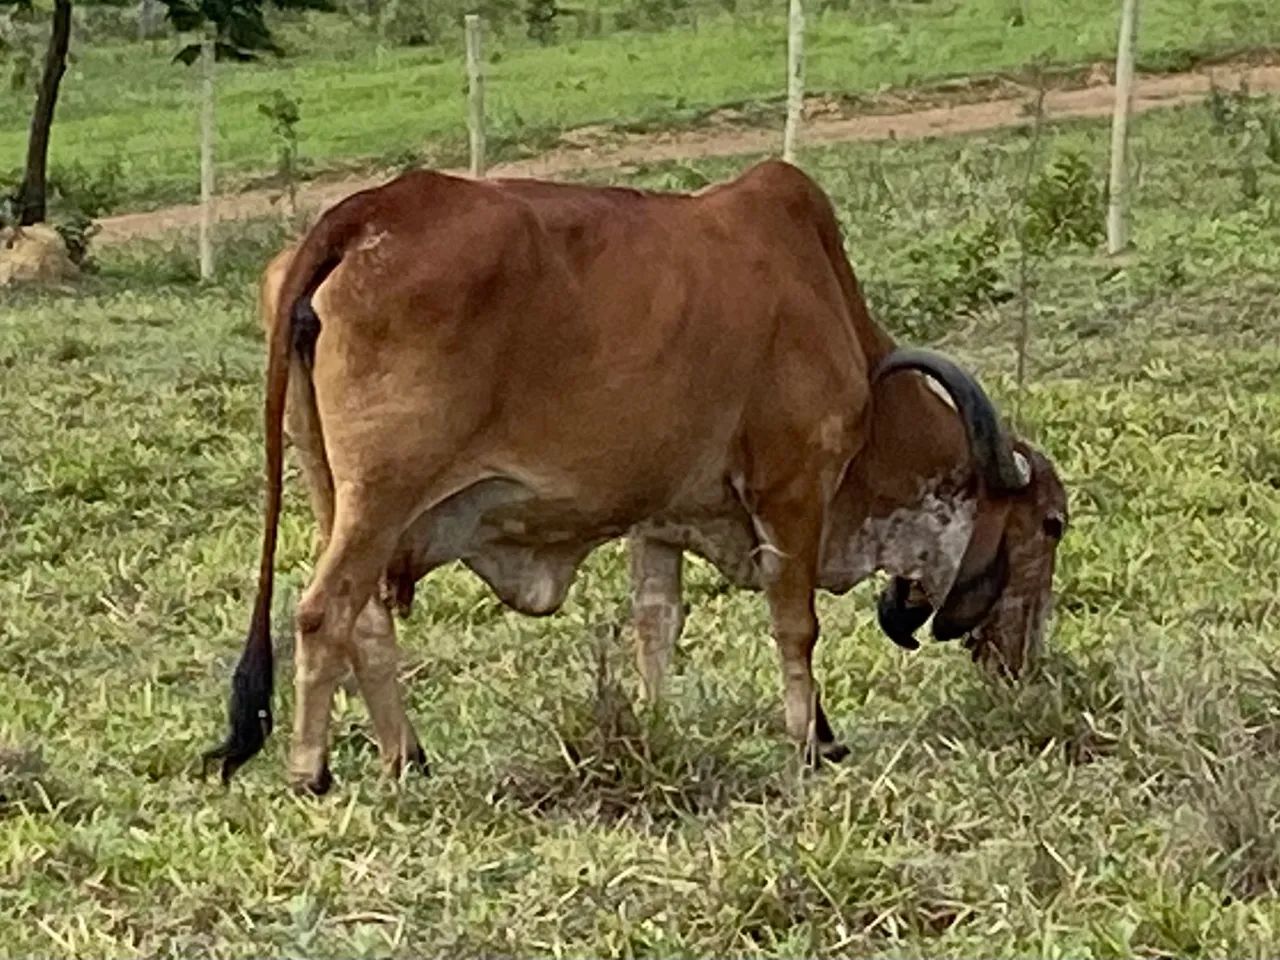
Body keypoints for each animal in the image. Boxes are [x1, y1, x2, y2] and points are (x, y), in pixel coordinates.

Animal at [202, 160, 1068, 794]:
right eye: (1051, 526)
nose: (1028, 669)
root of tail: (364, 214)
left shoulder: (662, 518)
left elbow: (657, 624)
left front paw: (660, 727)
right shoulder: (792, 487)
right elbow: (796, 625)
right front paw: (812, 743)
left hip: (338, 495)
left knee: (367, 621)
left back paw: (406, 758)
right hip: (381, 496)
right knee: (323, 614)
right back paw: (311, 772)